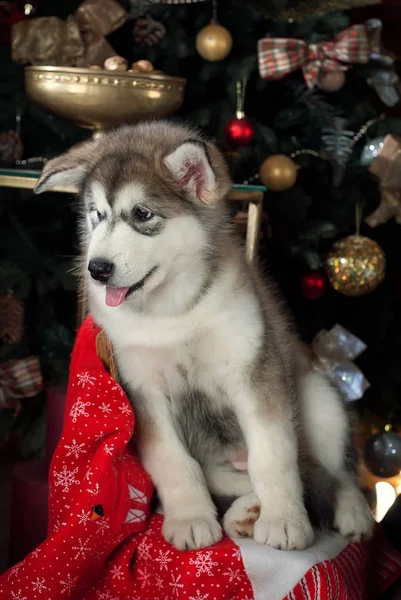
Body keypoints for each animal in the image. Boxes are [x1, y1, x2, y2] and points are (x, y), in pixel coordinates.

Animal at [34, 123, 372, 552]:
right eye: (96, 215)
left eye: (142, 214)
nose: (97, 269)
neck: (173, 313)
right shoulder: (142, 390)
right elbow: (172, 460)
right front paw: (190, 518)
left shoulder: (253, 371)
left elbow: (274, 453)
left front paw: (284, 520)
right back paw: (244, 511)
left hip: (319, 397)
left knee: (333, 473)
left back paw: (351, 513)